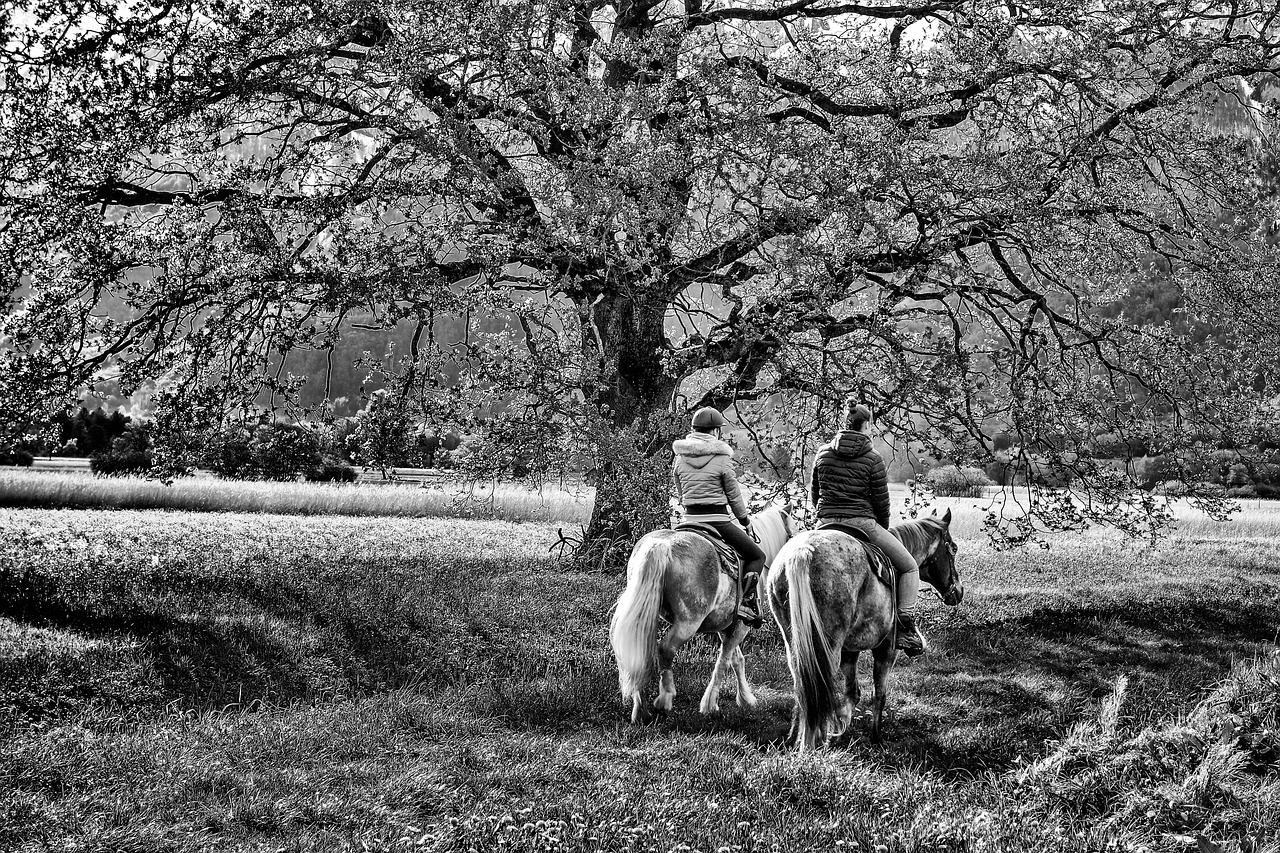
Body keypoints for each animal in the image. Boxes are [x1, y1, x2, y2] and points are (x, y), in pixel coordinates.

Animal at [606, 507, 788, 722]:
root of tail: (661, 545)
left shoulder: (725, 626)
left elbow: (736, 659)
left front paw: (746, 699)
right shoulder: (740, 626)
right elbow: (724, 661)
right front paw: (710, 704)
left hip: (646, 613)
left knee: (640, 654)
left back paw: (640, 711)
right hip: (689, 622)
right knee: (665, 649)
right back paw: (665, 699)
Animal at [762, 507, 962, 747]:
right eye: (953, 548)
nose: (958, 592)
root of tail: (803, 552)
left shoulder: (850, 651)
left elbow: (852, 693)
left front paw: (841, 733)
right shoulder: (887, 650)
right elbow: (879, 694)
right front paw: (875, 737)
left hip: (794, 641)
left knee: (802, 685)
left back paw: (797, 736)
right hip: (829, 647)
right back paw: (813, 740)